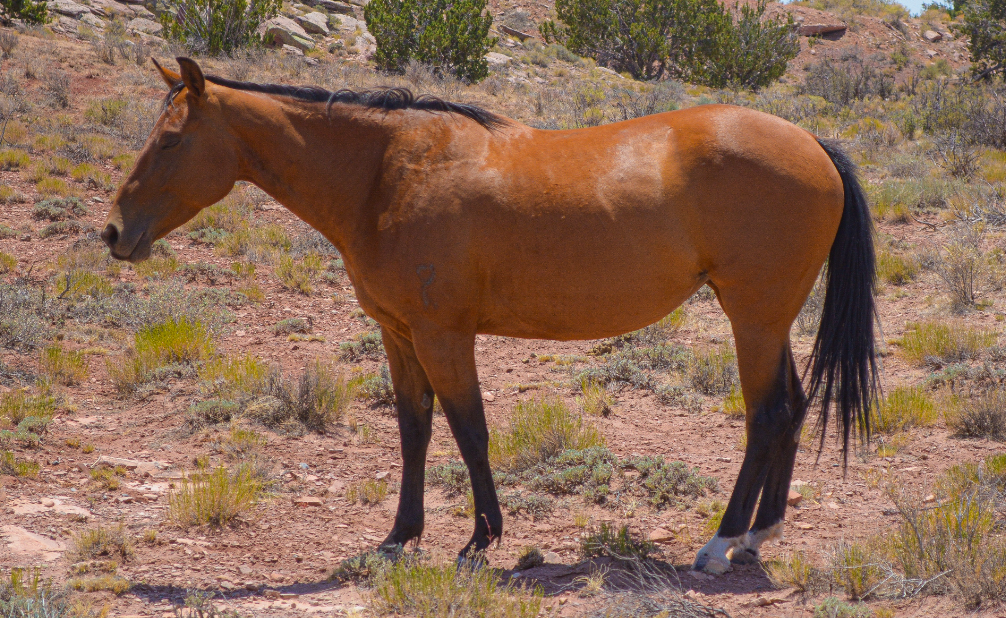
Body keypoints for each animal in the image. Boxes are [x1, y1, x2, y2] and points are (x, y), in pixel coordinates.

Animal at [102, 57, 877, 575]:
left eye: (170, 140)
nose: (113, 233)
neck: (385, 174)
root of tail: (816, 145)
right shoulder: (398, 334)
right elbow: (415, 431)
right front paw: (398, 538)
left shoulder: (444, 335)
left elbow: (468, 430)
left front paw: (479, 540)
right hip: (768, 320)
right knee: (793, 407)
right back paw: (757, 536)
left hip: (753, 316)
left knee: (766, 416)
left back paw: (718, 544)